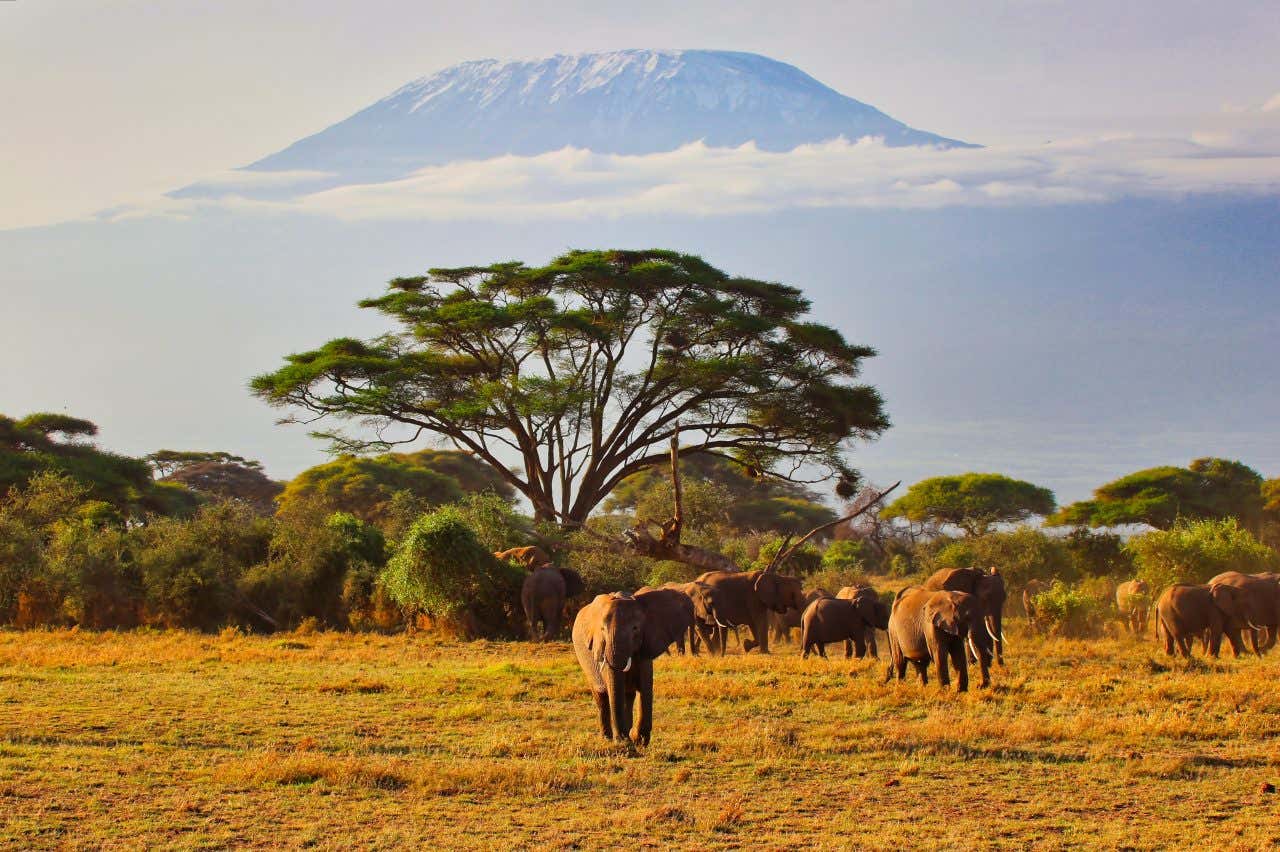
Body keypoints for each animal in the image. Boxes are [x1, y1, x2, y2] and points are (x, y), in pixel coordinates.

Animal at [570, 588, 691, 741]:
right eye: (602, 629)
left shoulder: (646, 645)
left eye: (635, 628)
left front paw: (639, 740)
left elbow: (646, 688)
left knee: (628, 696)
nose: (621, 739)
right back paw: (607, 738)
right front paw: (626, 741)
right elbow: (613, 689)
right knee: (602, 697)